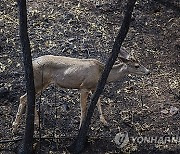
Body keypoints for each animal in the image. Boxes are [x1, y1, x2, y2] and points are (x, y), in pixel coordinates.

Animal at [12, 48, 150, 134]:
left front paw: (104, 121)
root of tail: (32, 63)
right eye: (136, 66)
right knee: (23, 98)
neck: (100, 72)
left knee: (30, 98)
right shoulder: (84, 86)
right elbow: (84, 108)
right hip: (39, 82)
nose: (148, 71)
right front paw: (81, 127)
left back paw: (36, 123)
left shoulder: (93, 87)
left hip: (42, 84)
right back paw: (15, 127)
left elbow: (98, 101)